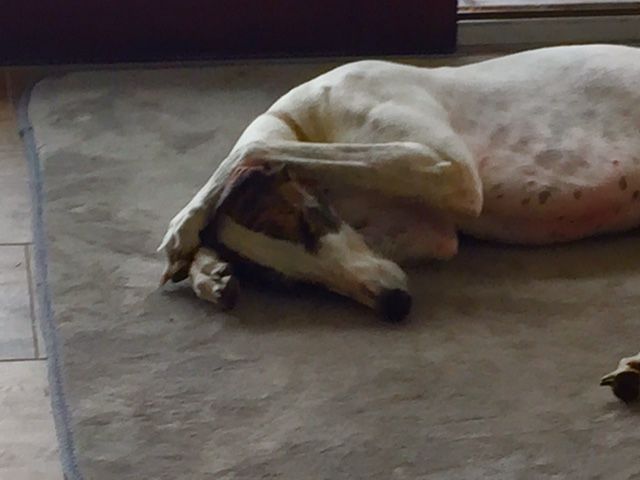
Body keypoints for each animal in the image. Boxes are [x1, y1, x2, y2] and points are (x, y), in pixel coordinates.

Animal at [158, 44, 640, 403]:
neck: (302, 121)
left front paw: (185, 225)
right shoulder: (425, 233)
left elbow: (248, 153)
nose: (395, 304)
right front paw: (208, 270)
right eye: (295, 284)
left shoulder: (446, 166)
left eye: (309, 220)